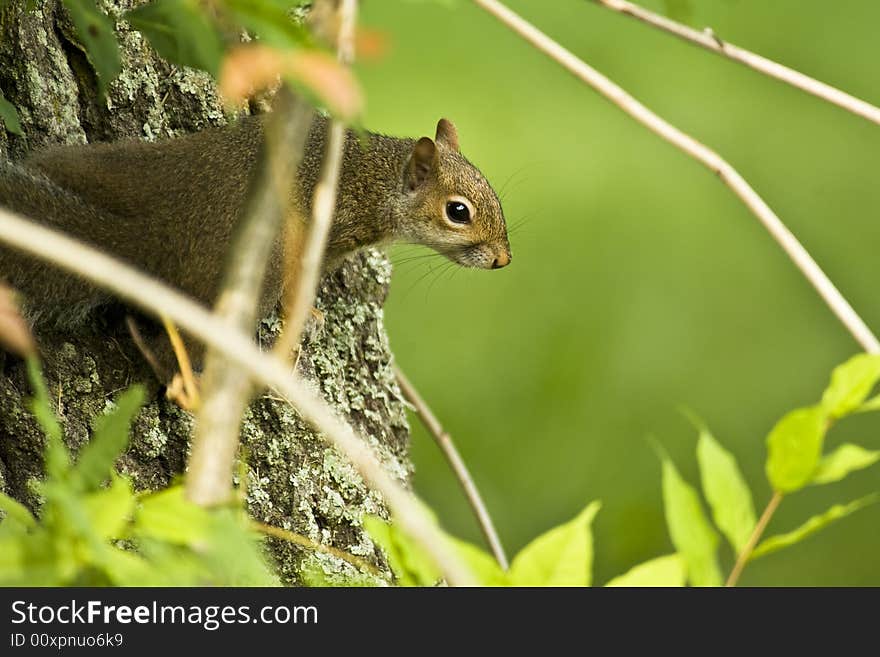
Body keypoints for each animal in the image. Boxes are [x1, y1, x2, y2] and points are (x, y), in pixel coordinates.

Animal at [0, 112, 508, 374]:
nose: (503, 259)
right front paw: (309, 315)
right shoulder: (324, 234)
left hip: (113, 166)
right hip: (254, 272)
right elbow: (299, 286)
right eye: (457, 211)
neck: (376, 179)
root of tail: (154, 238)